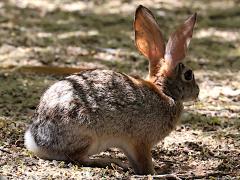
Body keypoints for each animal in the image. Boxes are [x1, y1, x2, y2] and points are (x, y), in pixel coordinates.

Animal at [25, 4, 200, 175]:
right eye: (188, 75)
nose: (197, 92)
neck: (164, 92)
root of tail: (36, 141)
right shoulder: (140, 141)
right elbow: (145, 165)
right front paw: (159, 173)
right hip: (87, 135)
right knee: (76, 157)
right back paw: (109, 161)